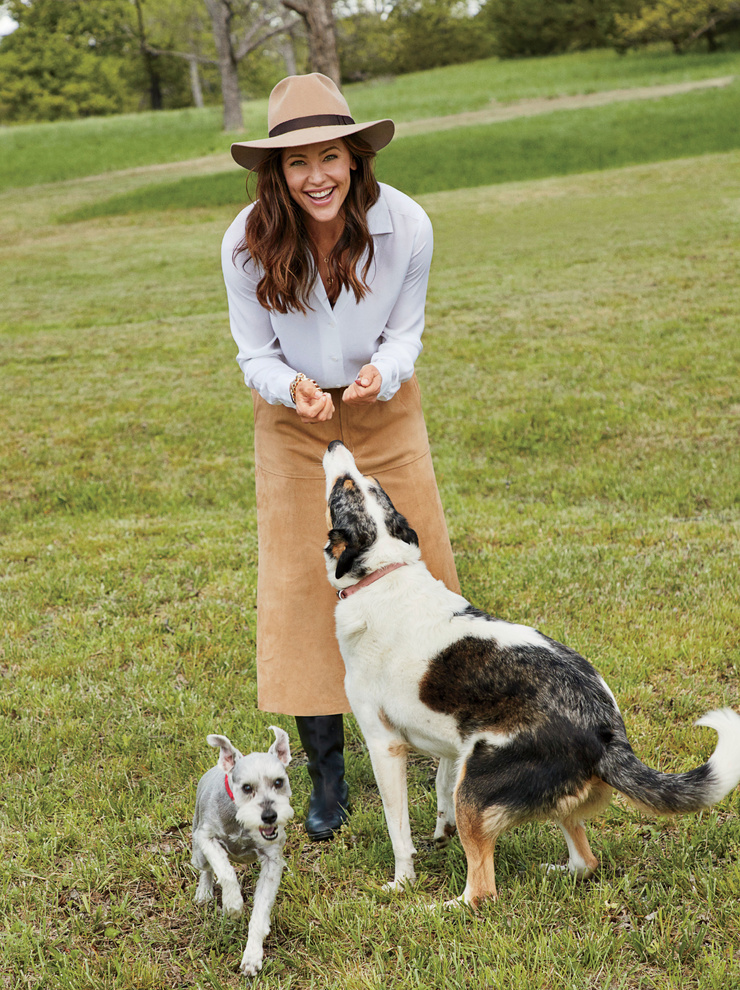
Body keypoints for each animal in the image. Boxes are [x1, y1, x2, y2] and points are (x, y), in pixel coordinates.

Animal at [191, 728, 294, 976]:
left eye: (279, 782)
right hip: (198, 850)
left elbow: (260, 911)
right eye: (247, 787)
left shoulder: (271, 862)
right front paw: (233, 904)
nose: (269, 816)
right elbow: (225, 871)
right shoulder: (207, 838)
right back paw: (204, 893)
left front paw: (252, 956)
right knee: (206, 869)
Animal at [322, 442, 740, 908]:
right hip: (515, 787)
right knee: (585, 861)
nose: (335, 445)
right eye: (366, 483)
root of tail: (605, 728)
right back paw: (553, 871)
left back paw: (434, 909)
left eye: (345, 486)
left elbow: (399, 834)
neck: (383, 571)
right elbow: (442, 785)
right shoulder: (453, 744)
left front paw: (401, 883)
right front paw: (441, 830)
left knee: (482, 891)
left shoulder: (385, 746)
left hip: (477, 789)